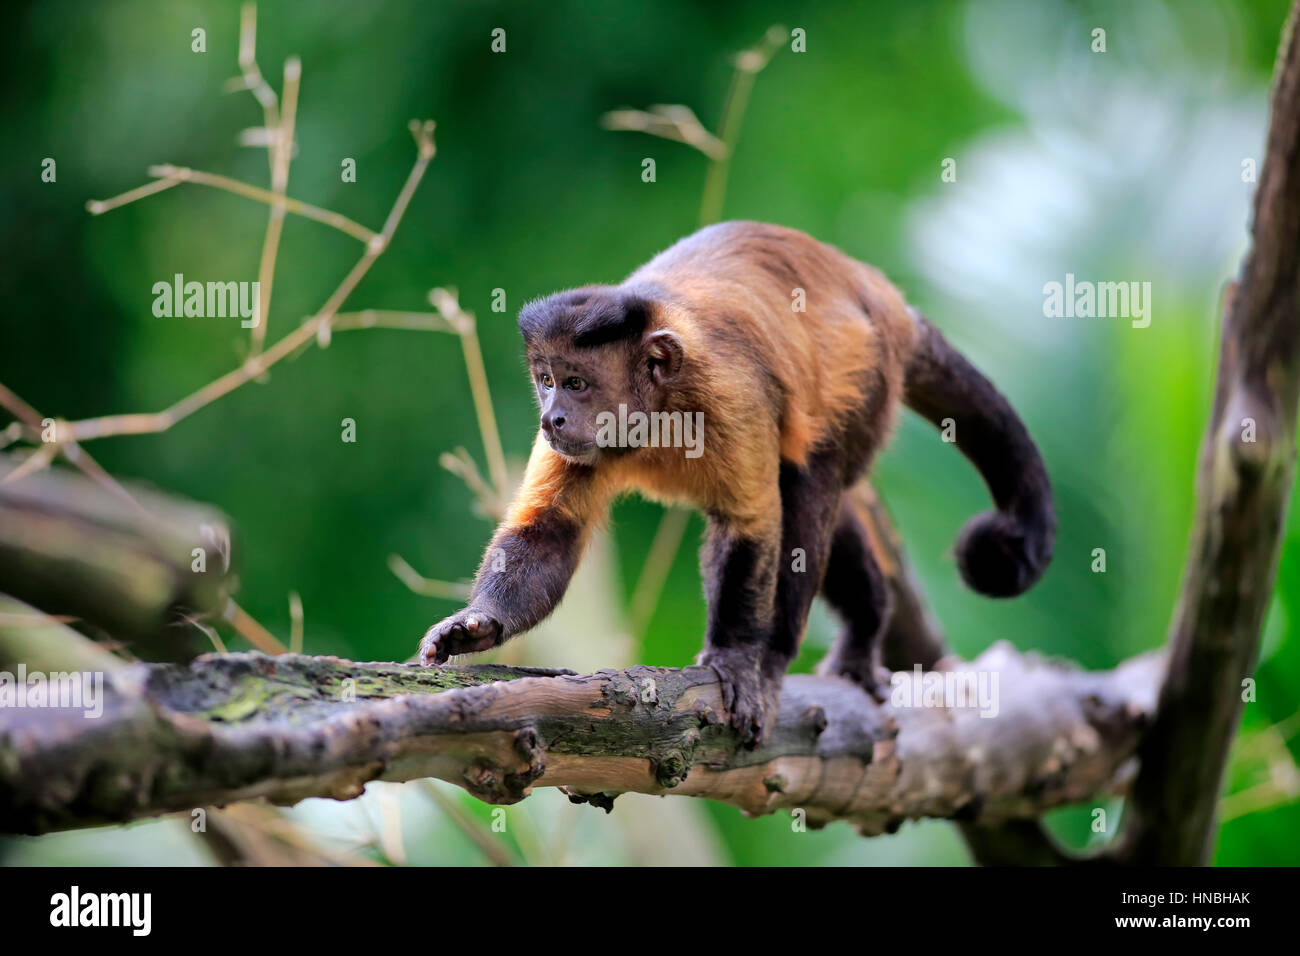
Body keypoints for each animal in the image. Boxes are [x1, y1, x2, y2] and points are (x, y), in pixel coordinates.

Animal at [416, 222, 1055, 749]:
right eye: (545, 380)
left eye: (576, 383)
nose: (552, 417)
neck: (660, 410)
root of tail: (877, 292)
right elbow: (548, 533)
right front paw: (476, 626)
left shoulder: (728, 394)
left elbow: (753, 525)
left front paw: (740, 660)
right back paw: (869, 616)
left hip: (867, 373)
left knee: (810, 484)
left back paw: (781, 656)